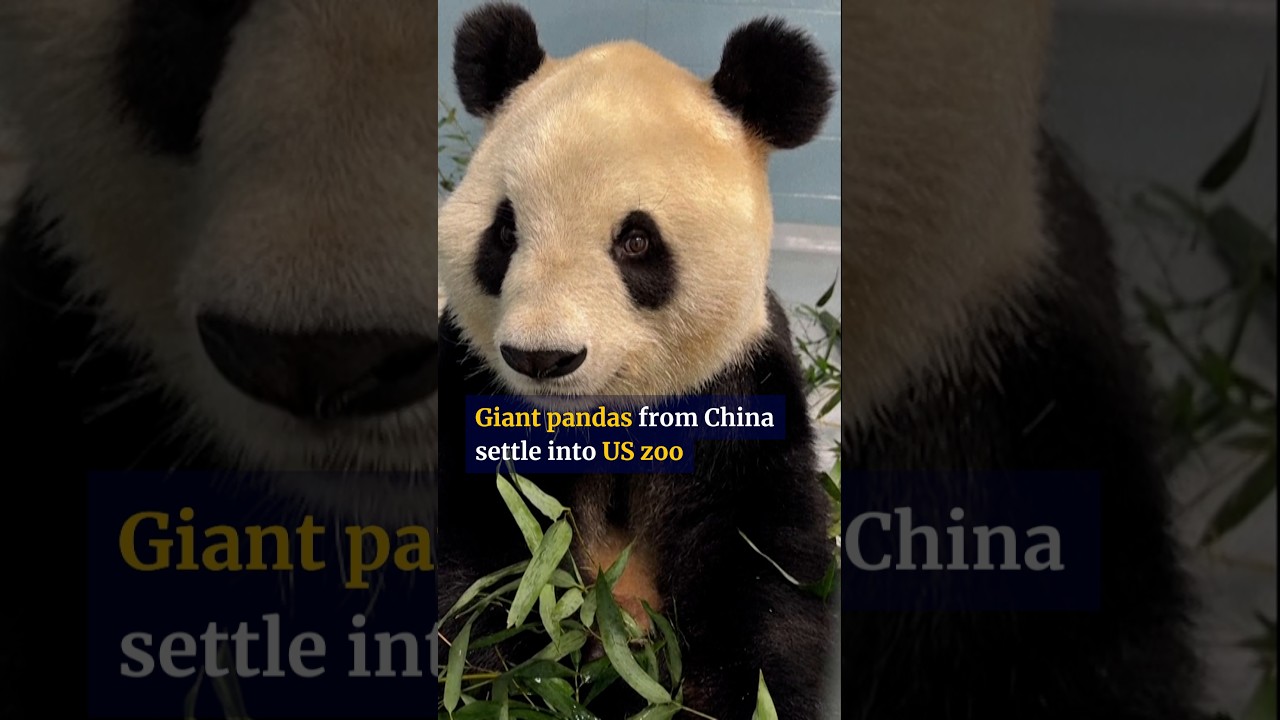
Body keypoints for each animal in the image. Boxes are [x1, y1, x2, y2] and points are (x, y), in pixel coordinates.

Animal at [435, 4, 836, 719]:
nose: (542, 357)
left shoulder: (741, 394)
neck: (602, 420)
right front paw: (509, 685)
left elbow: (765, 576)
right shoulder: (475, 391)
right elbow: (479, 571)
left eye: (637, 241)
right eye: (504, 233)